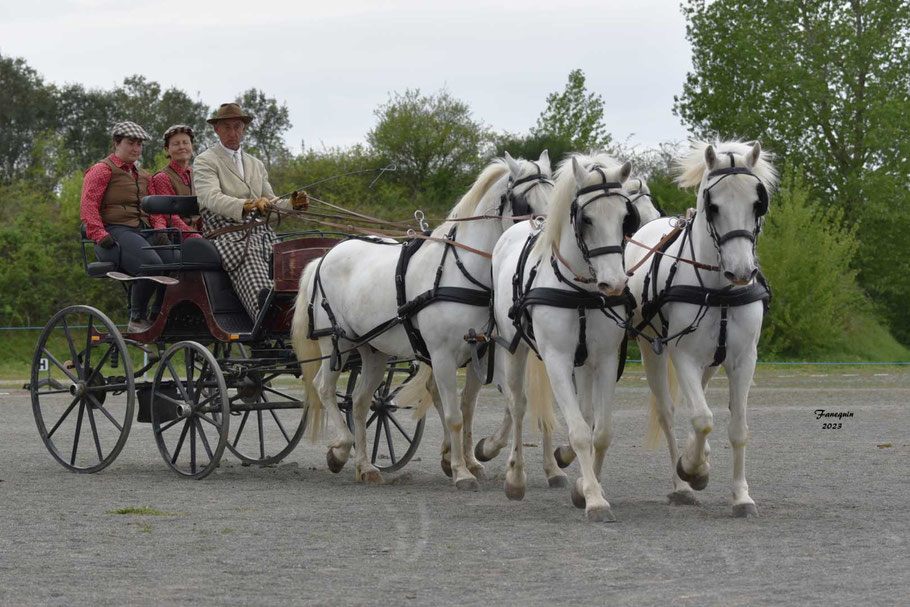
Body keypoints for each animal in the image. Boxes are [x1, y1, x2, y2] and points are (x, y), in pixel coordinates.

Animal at [296, 151, 556, 490]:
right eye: (525, 203)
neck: (461, 270)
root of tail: (324, 257)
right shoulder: (442, 356)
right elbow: (454, 415)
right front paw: (460, 471)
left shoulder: (479, 352)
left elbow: (469, 408)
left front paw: (473, 459)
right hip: (336, 341)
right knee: (324, 388)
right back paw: (340, 449)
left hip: (373, 350)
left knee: (360, 402)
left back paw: (366, 466)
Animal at [492, 154, 636, 520]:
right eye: (586, 218)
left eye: (625, 217)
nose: (614, 283)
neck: (581, 291)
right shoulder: (556, 359)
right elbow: (581, 432)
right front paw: (595, 500)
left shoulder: (605, 359)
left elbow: (600, 431)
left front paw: (585, 487)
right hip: (515, 349)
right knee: (517, 404)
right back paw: (515, 478)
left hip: (582, 363)